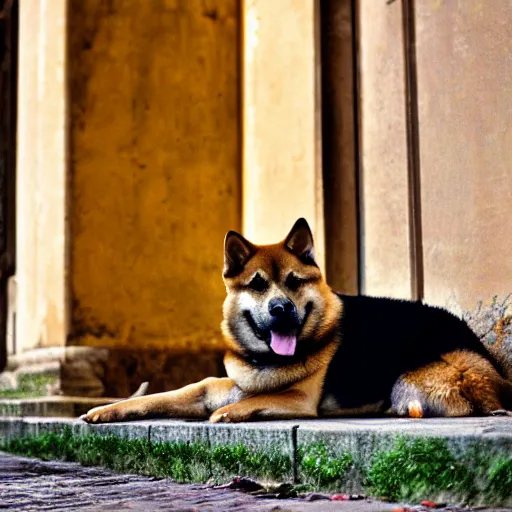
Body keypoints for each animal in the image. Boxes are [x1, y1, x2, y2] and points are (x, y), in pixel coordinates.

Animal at [82, 218, 510, 422]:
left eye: (293, 281)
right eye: (257, 284)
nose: (280, 309)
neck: (265, 362)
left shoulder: (299, 399)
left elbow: (257, 399)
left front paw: (229, 414)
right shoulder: (209, 388)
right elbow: (165, 395)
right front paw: (107, 410)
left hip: (413, 377)